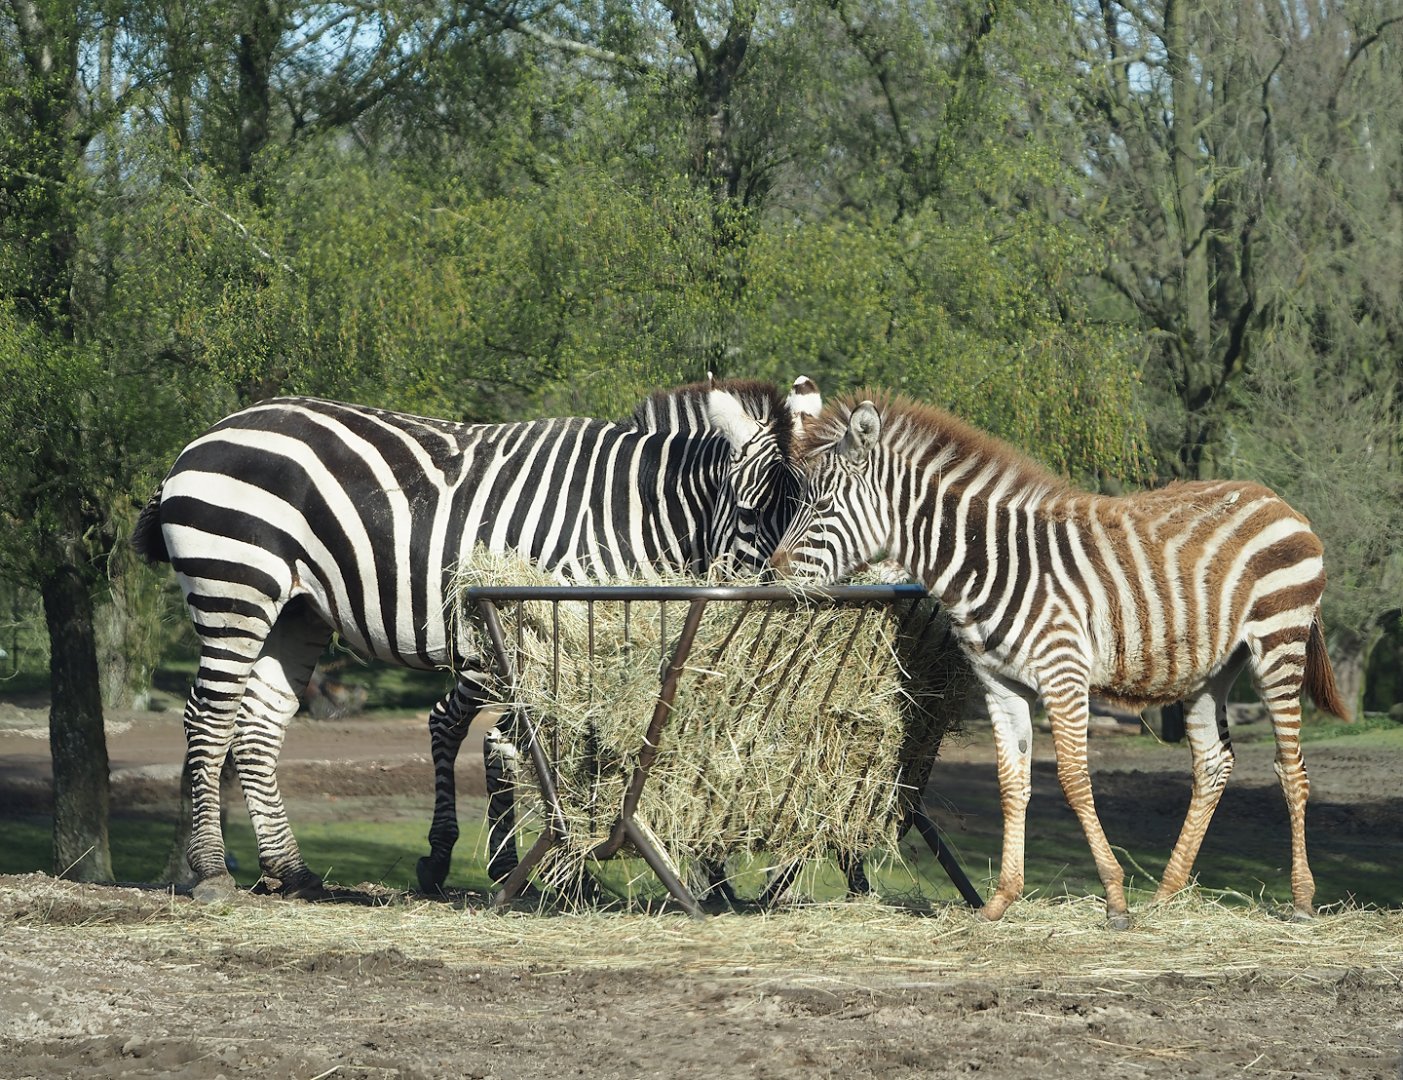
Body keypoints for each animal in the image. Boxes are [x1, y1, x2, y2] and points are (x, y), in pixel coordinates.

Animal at [132, 376, 819, 902]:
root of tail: (211, 432)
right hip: (236, 584)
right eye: (752, 513)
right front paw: (566, 874)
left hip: (300, 611)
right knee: (208, 716)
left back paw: (292, 872)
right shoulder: (551, 629)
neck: (637, 511)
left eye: (812, 508)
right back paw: (212, 872)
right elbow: (550, 749)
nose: (787, 610)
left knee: (258, 721)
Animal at [768, 392, 1348, 927]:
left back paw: (1300, 901)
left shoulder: (1063, 674)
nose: (774, 572)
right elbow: (1012, 783)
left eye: (820, 506)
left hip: (1279, 643)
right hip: (1212, 670)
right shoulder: (1000, 686)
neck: (987, 564)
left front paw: (1114, 899)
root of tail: (1273, 498)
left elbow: (1072, 779)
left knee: (1291, 767)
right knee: (1213, 763)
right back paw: (1166, 896)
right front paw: (1001, 900)